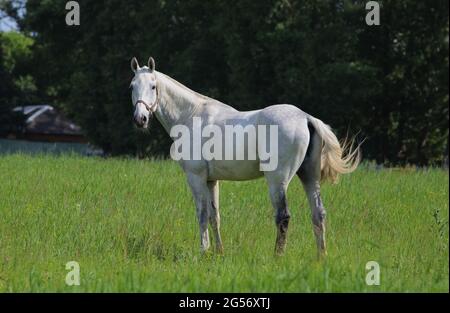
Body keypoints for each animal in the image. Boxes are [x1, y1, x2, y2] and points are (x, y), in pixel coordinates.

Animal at [129, 56, 358, 256]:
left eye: (153, 86)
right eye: (132, 86)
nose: (140, 119)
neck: (191, 115)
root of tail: (306, 118)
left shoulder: (196, 178)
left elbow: (201, 215)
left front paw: (204, 251)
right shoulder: (212, 181)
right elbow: (214, 216)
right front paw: (218, 252)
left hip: (277, 180)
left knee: (283, 216)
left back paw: (278, 255)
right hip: (309, 177)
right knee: (318, 214)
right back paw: (321, 256)